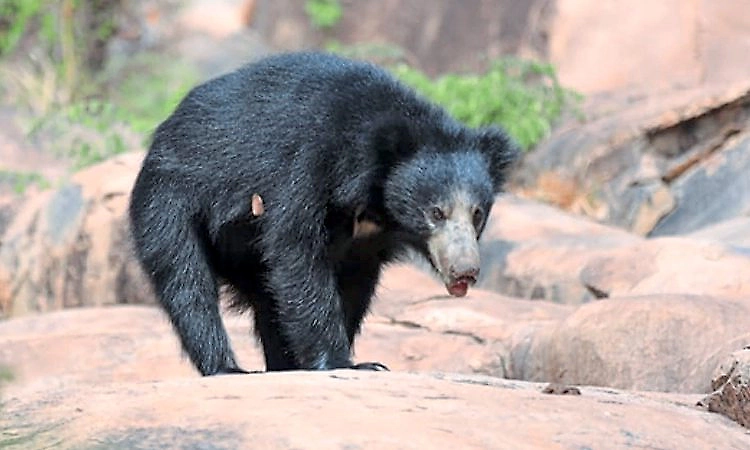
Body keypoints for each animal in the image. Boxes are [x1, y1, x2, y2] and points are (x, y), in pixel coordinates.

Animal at [129, 52, 519, 376]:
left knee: (268, 300)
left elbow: (354, 284)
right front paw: (343, 363)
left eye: (478, 214)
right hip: (171, 200)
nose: (465, 271)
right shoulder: (308, 167)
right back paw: (226, 367)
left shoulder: (367, 243)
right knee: (186, 280)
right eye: (436, 212)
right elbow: (297, 253)